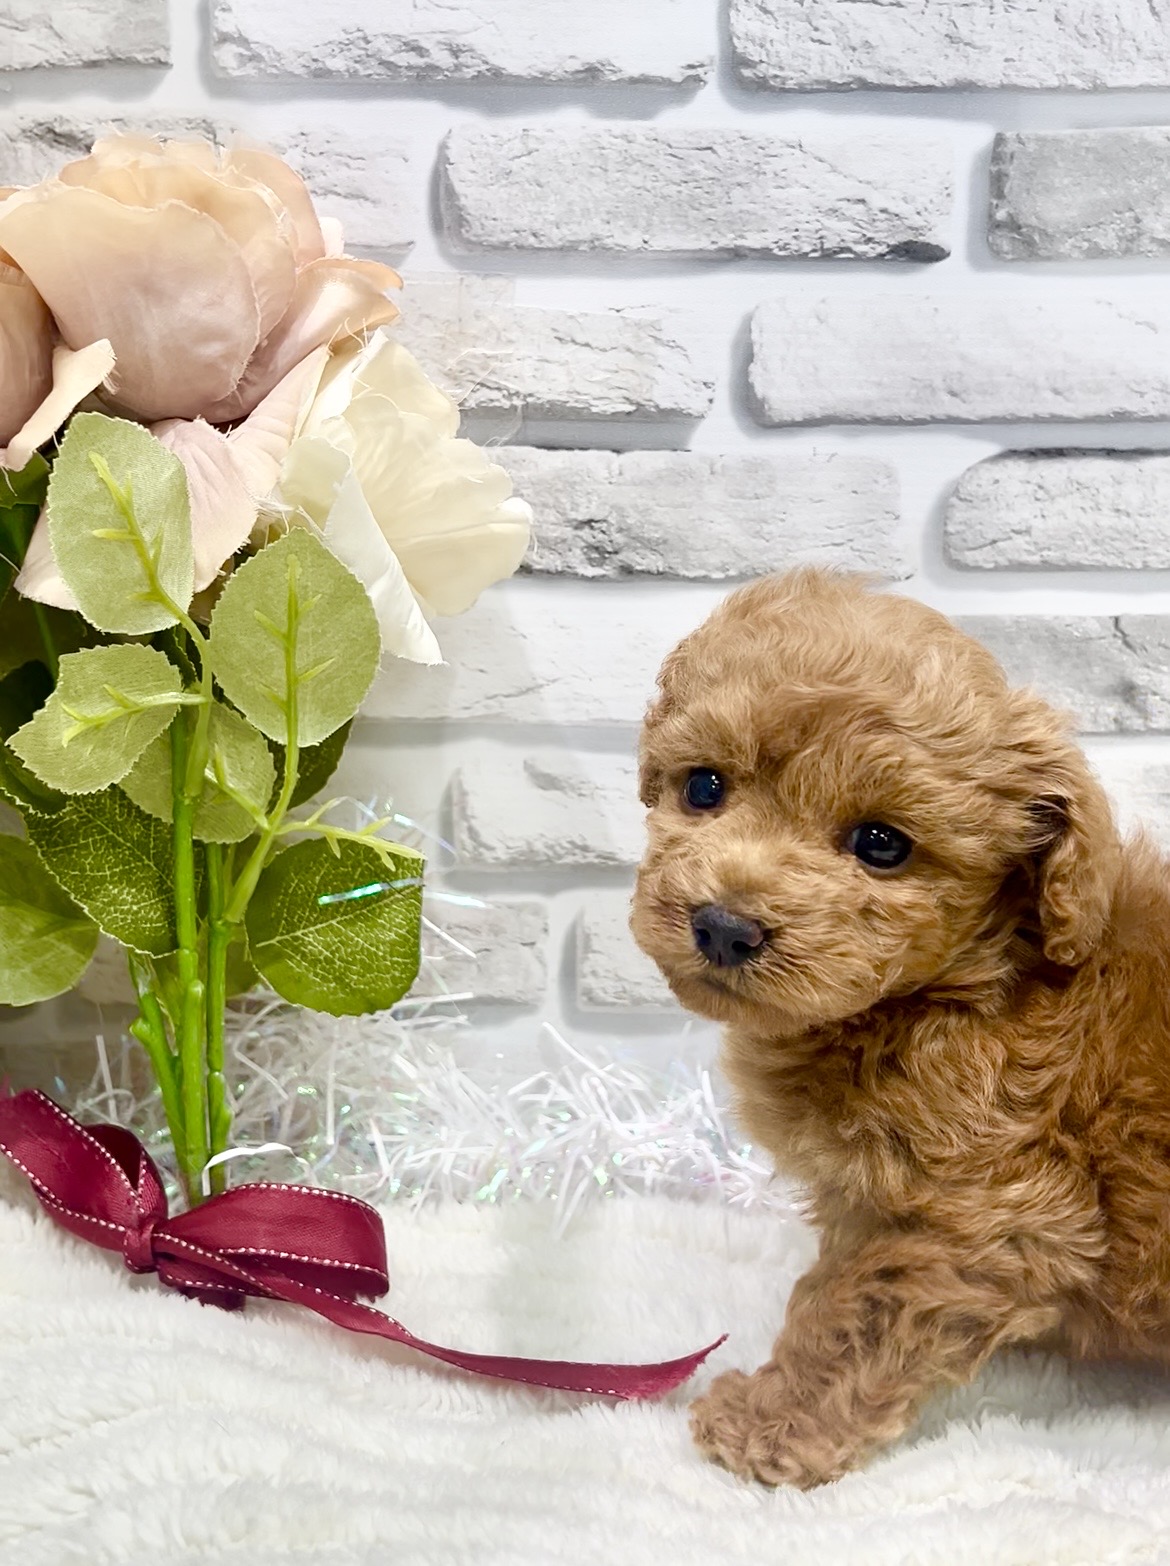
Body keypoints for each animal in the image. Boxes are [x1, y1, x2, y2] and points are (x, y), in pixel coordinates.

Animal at [631, 568, 1170, 1488]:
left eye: (882, 844)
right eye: (703, 787)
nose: (725, 927)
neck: (958, 991)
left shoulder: (985, 1215)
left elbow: (853, 1316)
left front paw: (772, 1424)